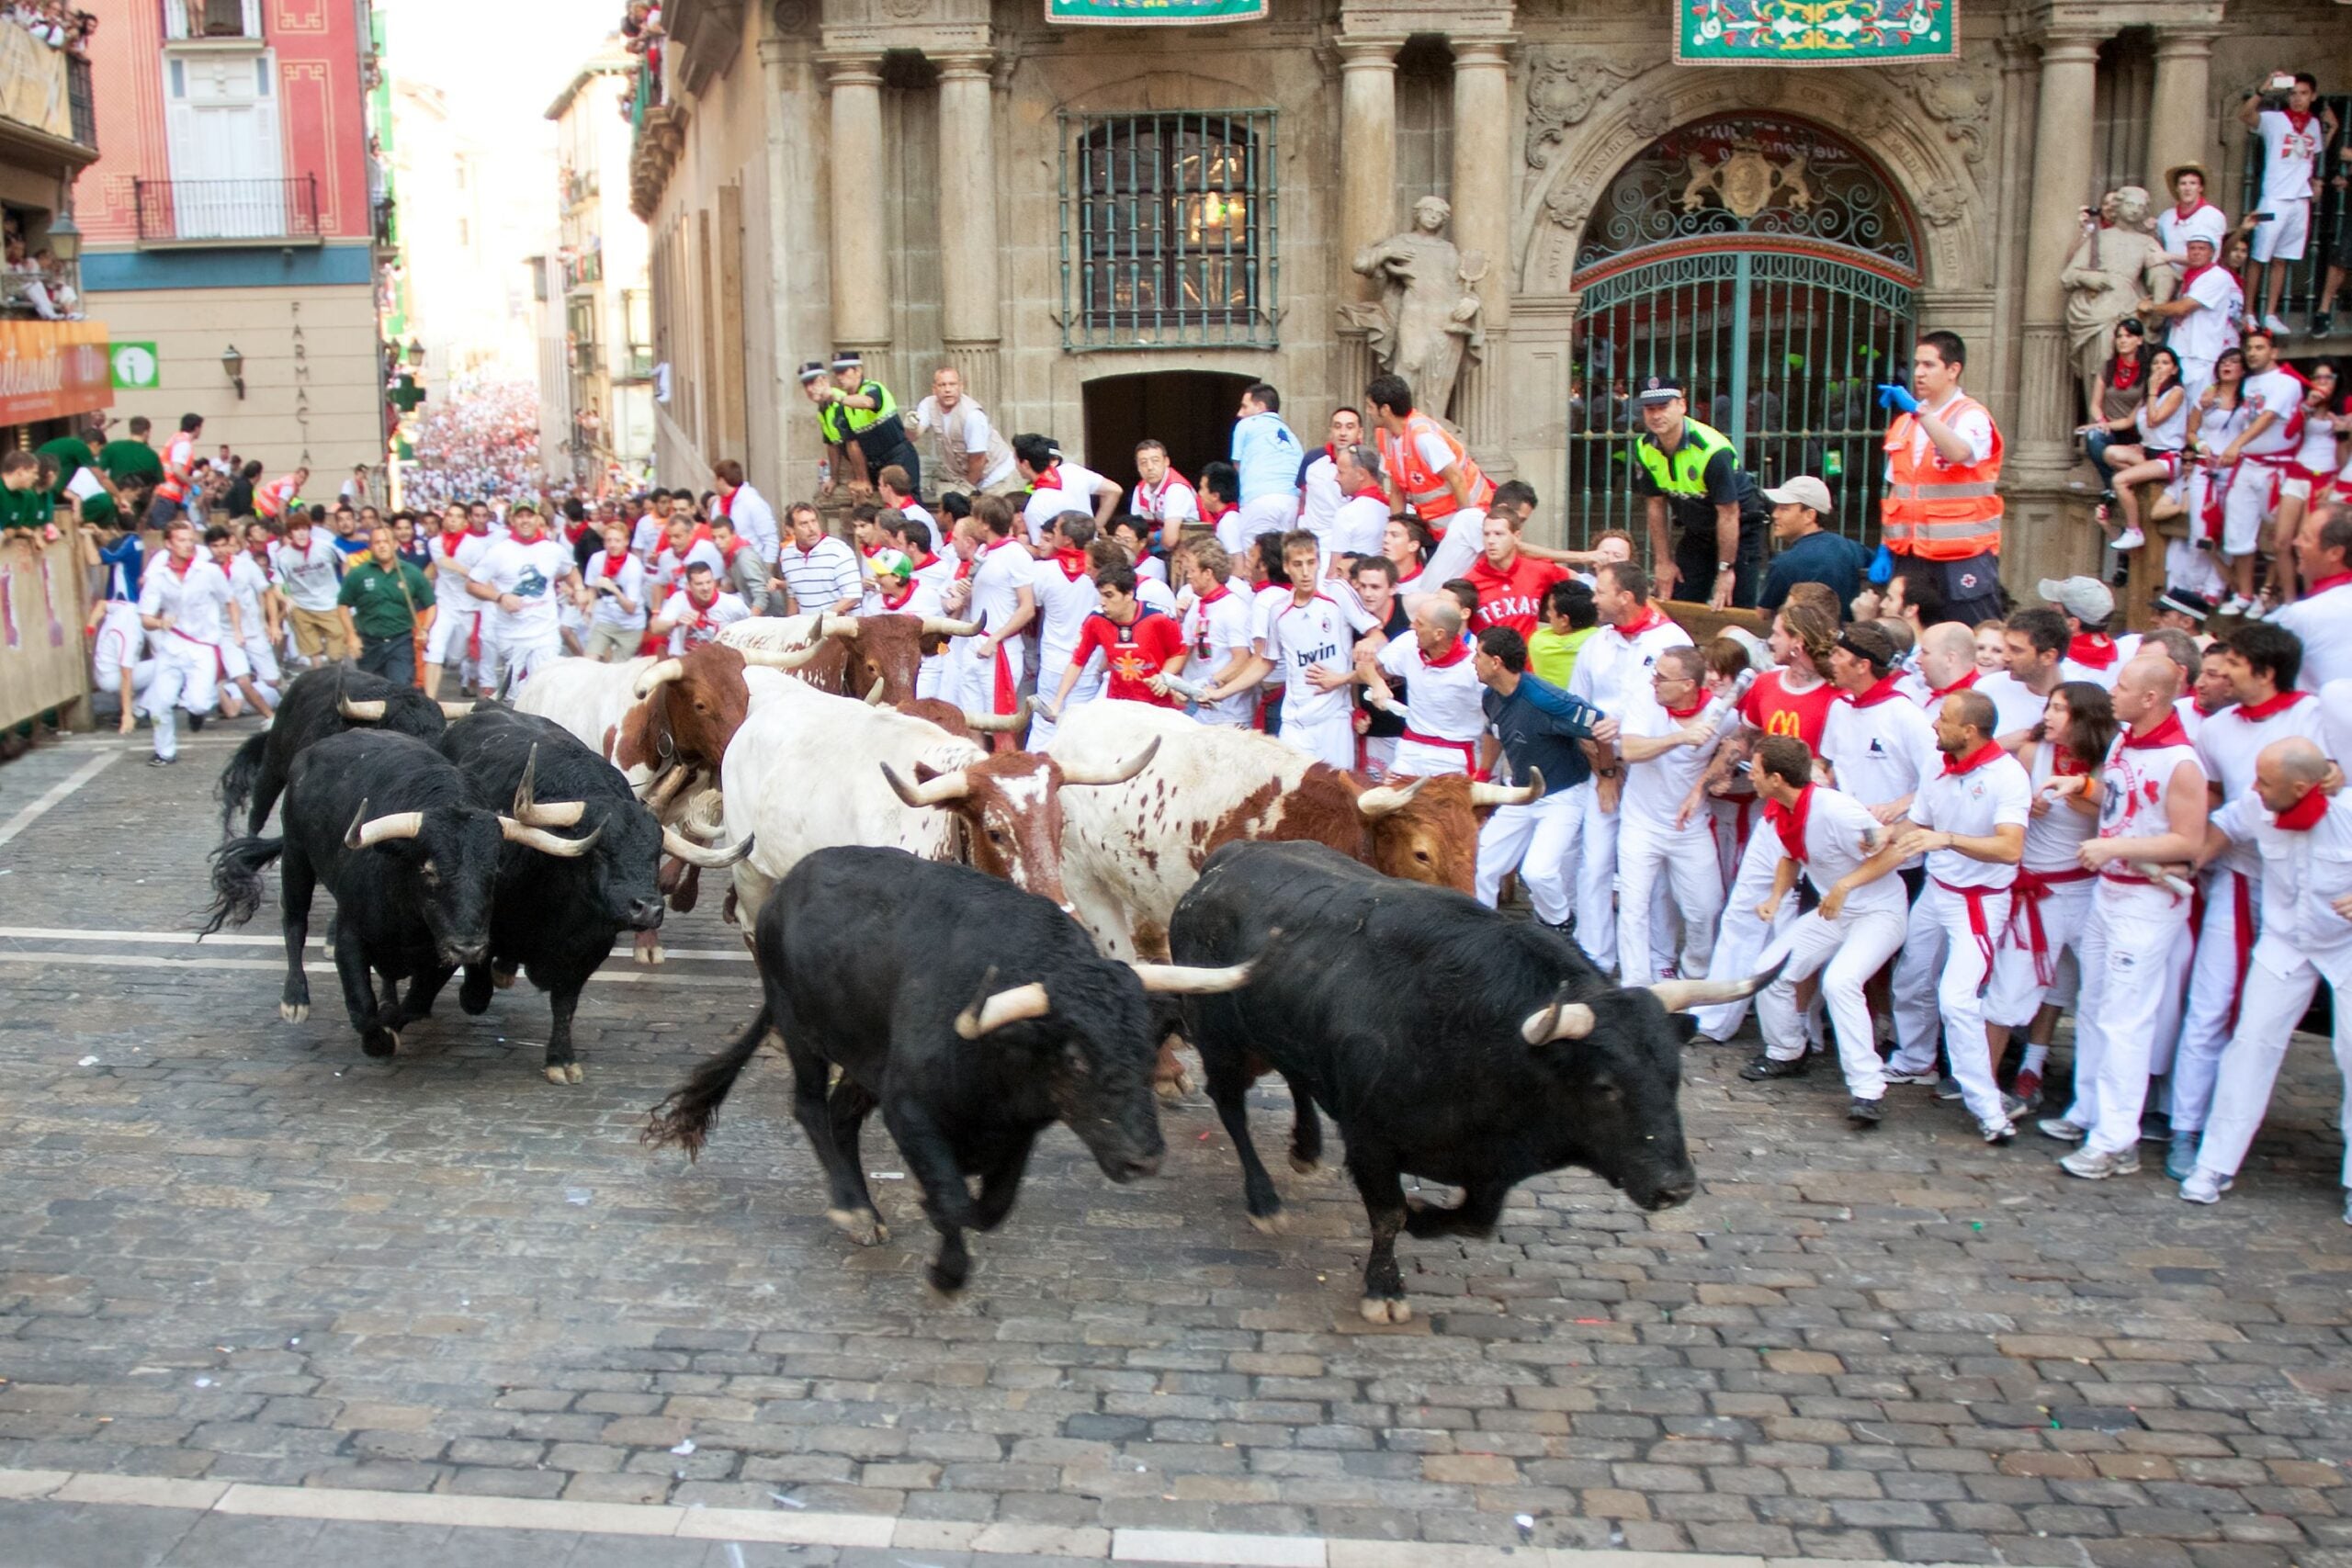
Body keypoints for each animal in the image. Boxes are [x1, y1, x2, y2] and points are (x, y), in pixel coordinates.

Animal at [1166, 846, 1769, 1325]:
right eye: (1604, 1087)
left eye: (1675, 1077)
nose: (1676, 1188)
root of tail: (1227, 860)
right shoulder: (1371, 1142)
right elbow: (1388, 1214)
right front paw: (1384, 1287)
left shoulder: (1491, 1166)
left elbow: (1475, 1222)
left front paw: (1424, 1217)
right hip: (1219, 1037)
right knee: (1231, 1108)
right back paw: (1264, 1199)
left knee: (1295, 1075)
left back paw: (1306, 1148)